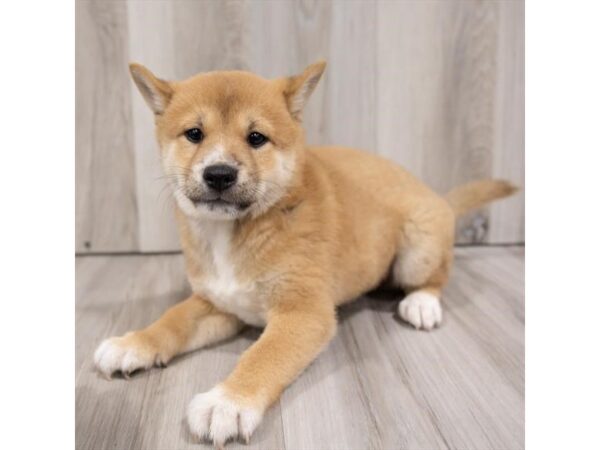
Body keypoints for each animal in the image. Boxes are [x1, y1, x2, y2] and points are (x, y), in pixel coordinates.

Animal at [94, 59, 516, 446]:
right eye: (194, 134)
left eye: (256, 138)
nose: (219, 174)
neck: (237, 234)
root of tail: (434, 195)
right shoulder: (217, 304)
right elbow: (172, 321)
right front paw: (133, 344)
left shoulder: (303, 313)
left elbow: (264, 355)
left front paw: (228, 402)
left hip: (418, 250)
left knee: (436, 277)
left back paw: (422, 303)